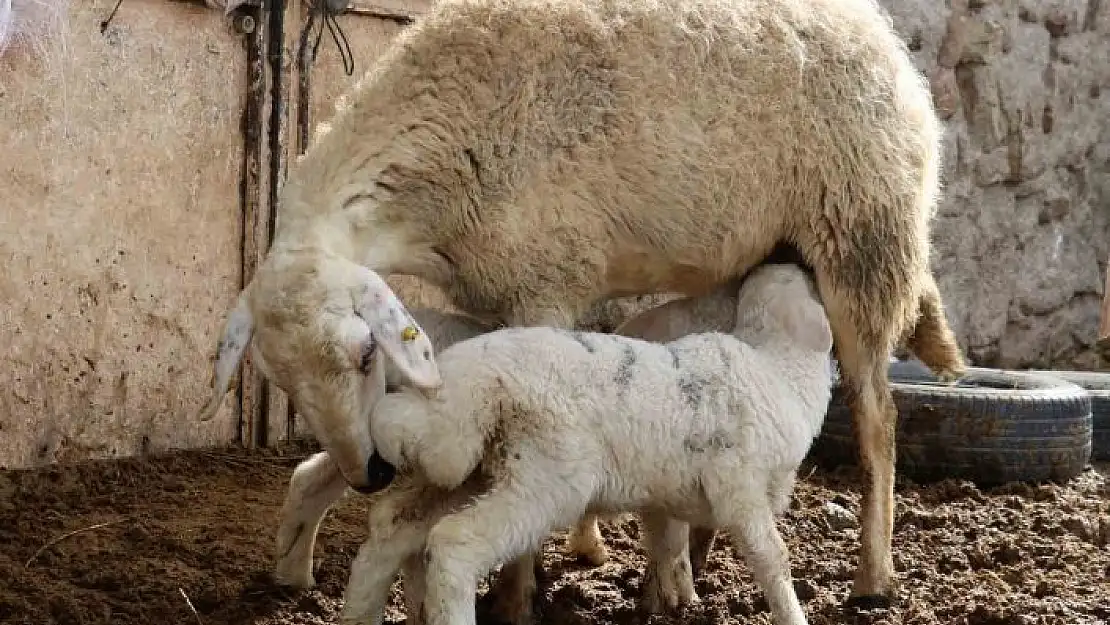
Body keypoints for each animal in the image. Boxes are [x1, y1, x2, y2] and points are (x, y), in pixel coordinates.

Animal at [341, 263, 834, 625]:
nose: (789, 258)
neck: (781, 370)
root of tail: (474, 384)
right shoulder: (741, 488)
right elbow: (775, 559)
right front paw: (791, 614)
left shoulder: (666, 493)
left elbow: (666, 544)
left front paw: (667, 601)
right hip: (548, 477)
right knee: (455, 544)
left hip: (465, 465)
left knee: (391, 525)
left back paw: (359, 613)